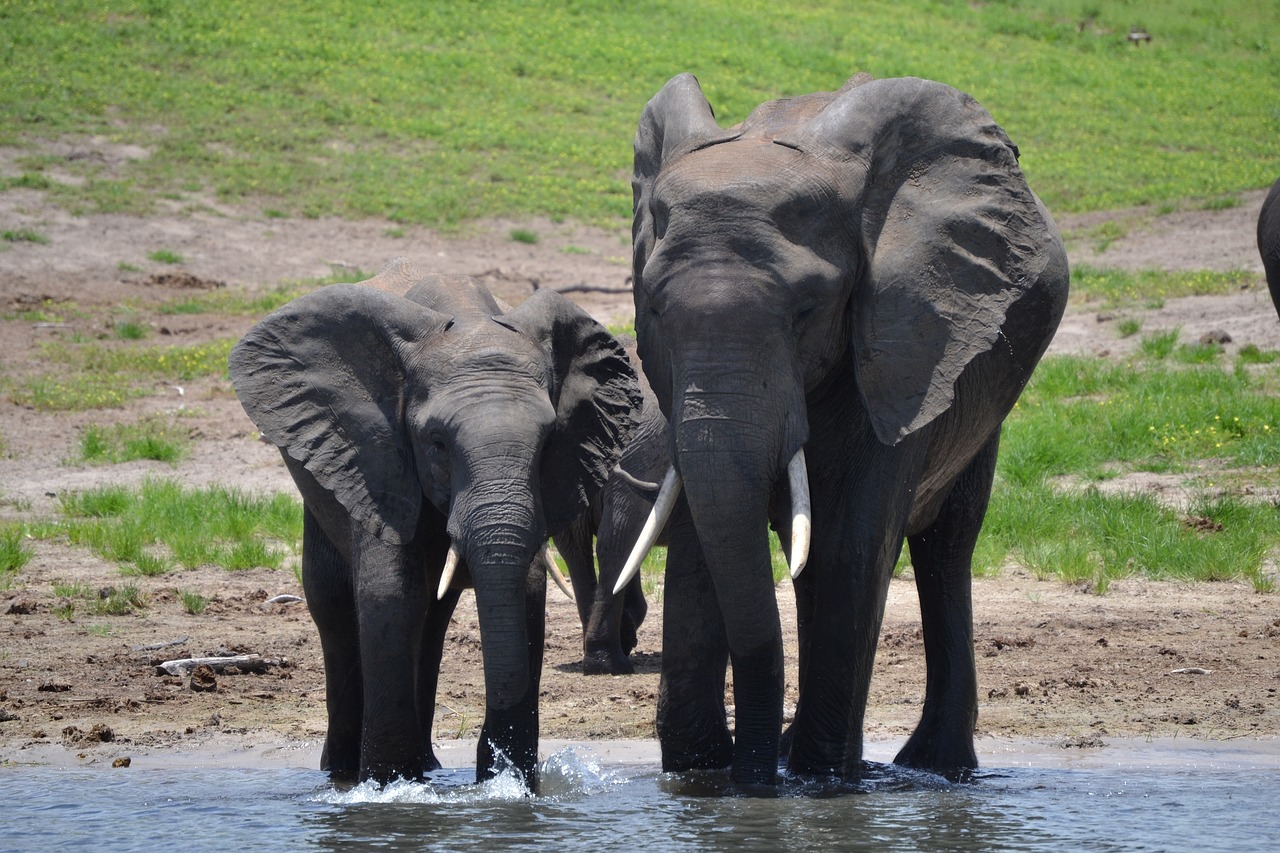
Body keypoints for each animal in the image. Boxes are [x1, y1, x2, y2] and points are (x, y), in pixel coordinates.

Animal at [229, 258, 640, 783]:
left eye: (548, 442)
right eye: (438, 444)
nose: (495, 760)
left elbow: (527, 592)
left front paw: (507, 783)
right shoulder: (378, 455)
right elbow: (390, 593)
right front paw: (387, 785)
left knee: (435, 612)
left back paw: (426, 766)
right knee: (333, 600)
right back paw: (343, 772)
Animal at [619, 73, 1070, 783]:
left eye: (809, 309)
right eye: (656, 310)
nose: (749, 776)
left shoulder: (902, 341)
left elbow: (847, 550)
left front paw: (820, 780)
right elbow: (699, 532)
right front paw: (700, 777)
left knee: (946, 545)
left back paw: (931, 768)